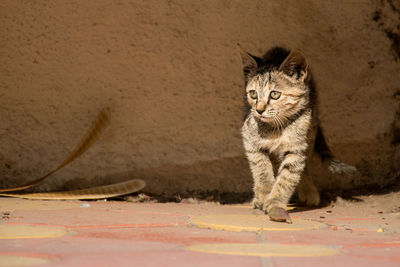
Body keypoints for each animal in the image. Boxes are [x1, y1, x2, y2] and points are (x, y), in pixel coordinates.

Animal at [239, 46, 354, 224]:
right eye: (253, 94)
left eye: (275, 94)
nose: (259, 110)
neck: (275, 128)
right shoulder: (250, 139)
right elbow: (261, 169)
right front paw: (263, 195)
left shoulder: (296, 149)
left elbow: (286, 178)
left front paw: (275, 204)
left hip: (310, 132)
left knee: (304, 166)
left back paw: (308, 191)